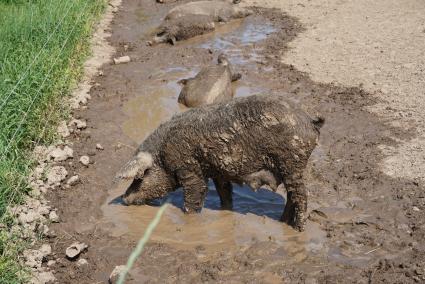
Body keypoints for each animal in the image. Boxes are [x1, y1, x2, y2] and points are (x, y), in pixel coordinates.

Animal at [114, 94, 322, 232]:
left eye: (140, 177)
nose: (124, 198)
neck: (162, 154)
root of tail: (311, 121)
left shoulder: (189, 169)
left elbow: (195, 194)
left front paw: (190, 220)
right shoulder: (219, 172)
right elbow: (225, 194)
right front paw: (226, 212)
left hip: (292, 163)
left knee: (301, 196)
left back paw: (298, 229)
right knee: (291, 196)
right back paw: (282, 222)